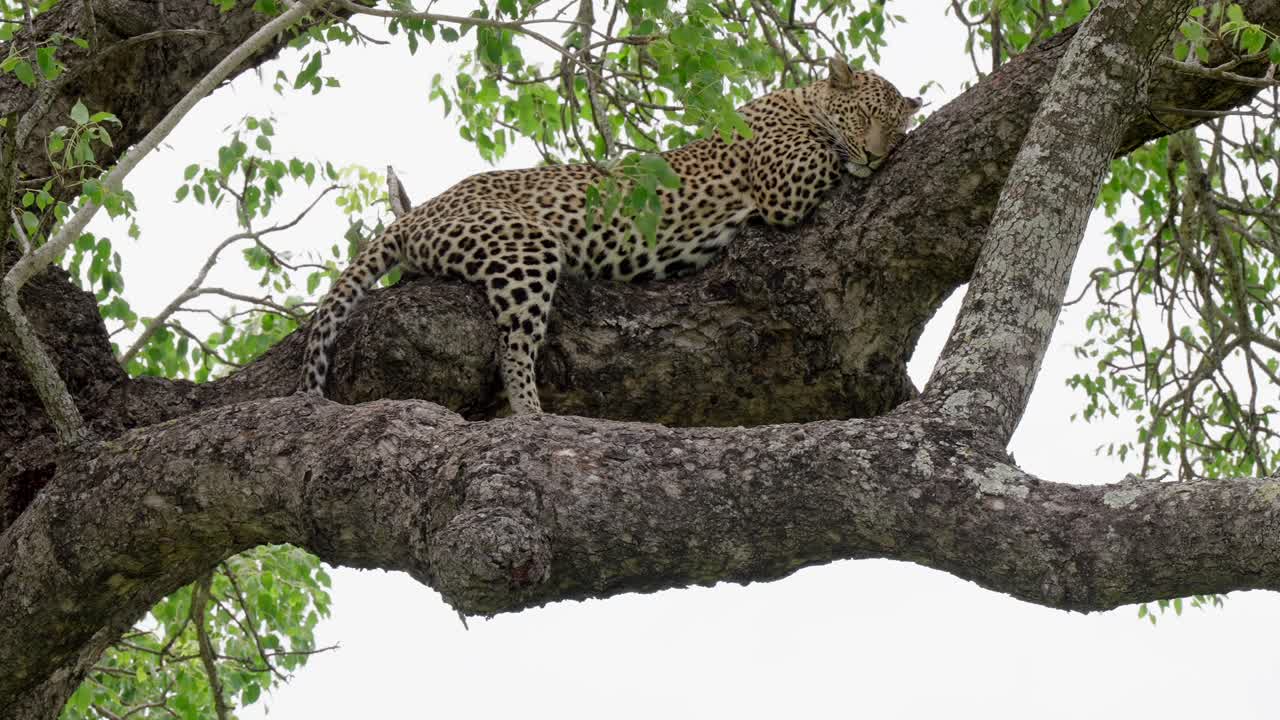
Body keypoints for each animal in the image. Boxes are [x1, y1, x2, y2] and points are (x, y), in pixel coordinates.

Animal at [300, 58, 920, 414]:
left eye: (893, 127)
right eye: (865, 117)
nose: (877, 153)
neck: (802, 100)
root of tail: (419, 211)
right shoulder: (785, 183)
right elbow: (827, 155)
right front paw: (858, 155)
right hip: (524, 246)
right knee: (512, 345)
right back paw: (532, 413)